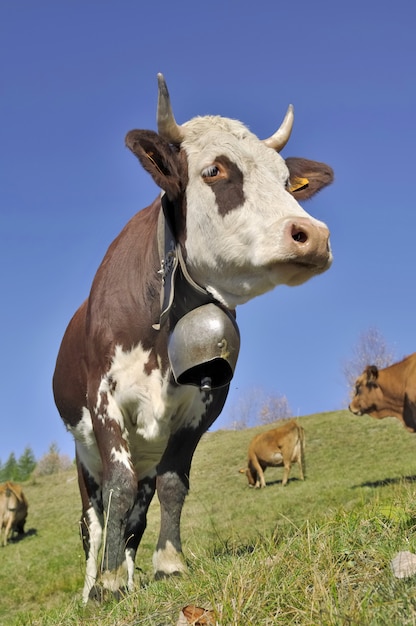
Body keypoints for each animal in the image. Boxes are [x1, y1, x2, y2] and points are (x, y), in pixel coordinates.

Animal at [52, 73, 334, 600]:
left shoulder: (206, 403)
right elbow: (117, 489)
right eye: (215, 170)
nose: (313, 234)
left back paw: (130, 572)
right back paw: (92, 587)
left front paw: (167, 564)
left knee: (136, 515)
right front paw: (108, 582)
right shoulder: (103, 399)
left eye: (287, 181)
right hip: (83, 459)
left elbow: (173, 483)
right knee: (92, 521)